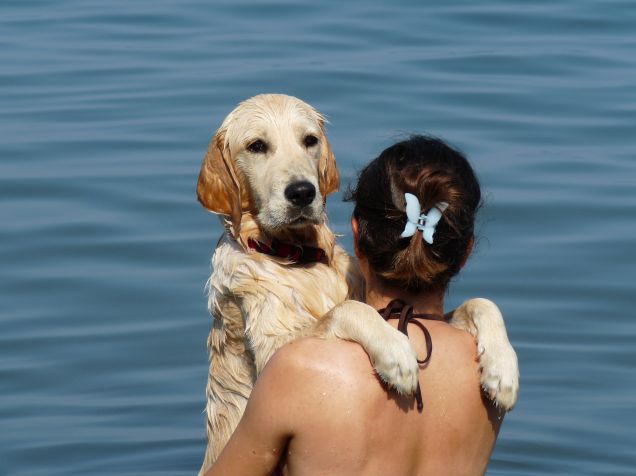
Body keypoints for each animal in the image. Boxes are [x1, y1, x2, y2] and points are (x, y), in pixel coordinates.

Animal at [196, 94, 520, 472]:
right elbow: (347, 309)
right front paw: (395, 351)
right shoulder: (274, 354)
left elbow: (482, 303)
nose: (302, 192)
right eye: (256, 146)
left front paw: (503, 368)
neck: (297, 256)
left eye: (309, 140)